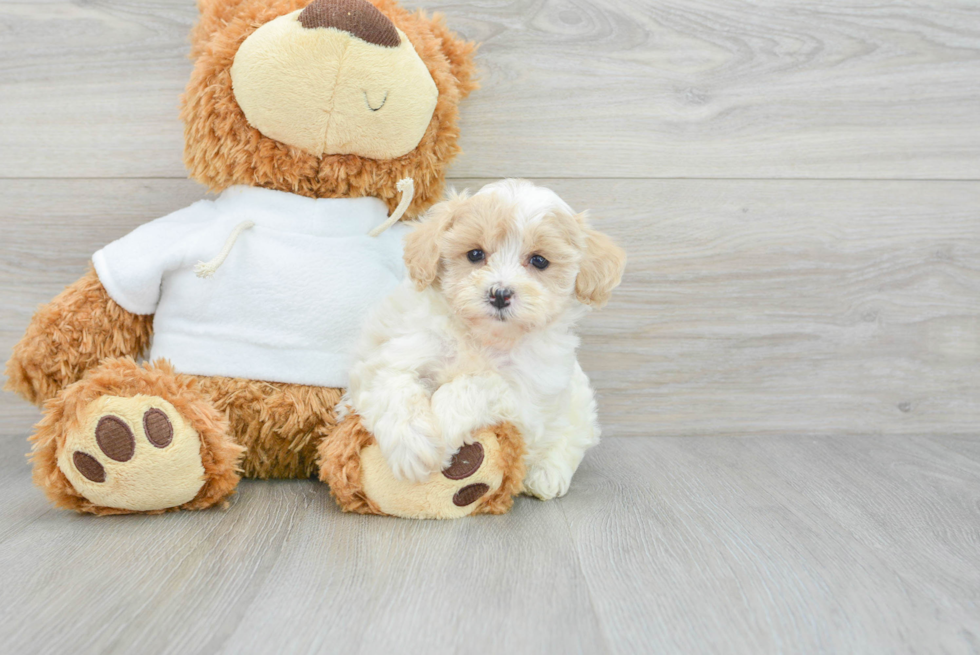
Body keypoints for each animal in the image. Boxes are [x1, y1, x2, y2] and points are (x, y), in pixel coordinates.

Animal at [340, 181, 624, 502]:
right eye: (475, 254)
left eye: (539, 261)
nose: (500, 294)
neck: (484, 337)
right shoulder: (392, 355)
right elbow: (392, 385)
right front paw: (413, 445)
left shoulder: (530, 396)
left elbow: (483, 383)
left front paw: (443, 421)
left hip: (578, 402)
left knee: (573, 436)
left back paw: (547, 474)